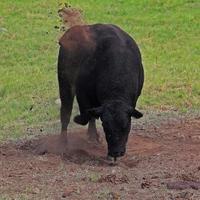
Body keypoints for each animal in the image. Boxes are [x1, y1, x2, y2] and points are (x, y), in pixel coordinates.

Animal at [57, 23, 144, 159]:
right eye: (105, 127)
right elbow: (86, 115)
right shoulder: (82, 92)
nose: (116, 152)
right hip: (64, 83)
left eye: (126, 127)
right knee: (66, 112)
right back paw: (63, 142)